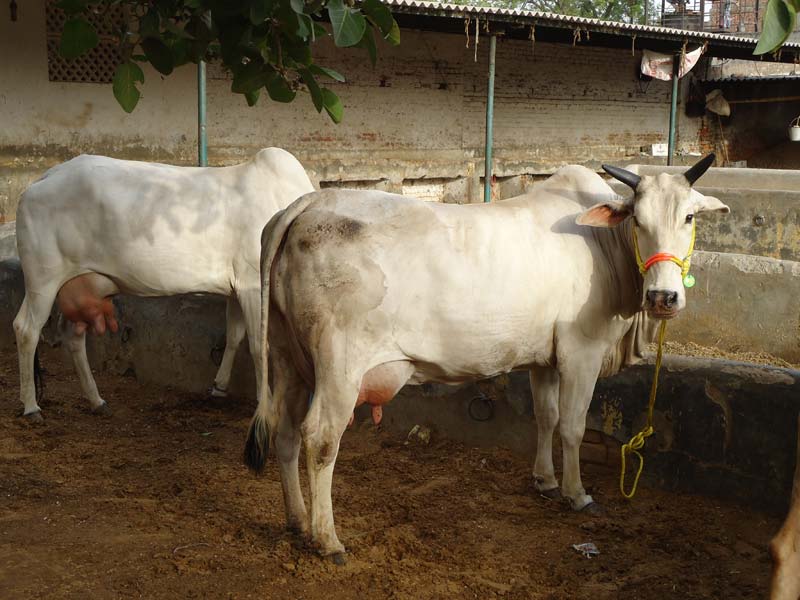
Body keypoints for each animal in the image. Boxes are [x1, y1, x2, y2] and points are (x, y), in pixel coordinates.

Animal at [14, 149, 316, 422]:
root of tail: (45, 177)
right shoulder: (252, 283)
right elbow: (257, 345)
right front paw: (263, 404)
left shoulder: (237, 288)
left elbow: (234, 336)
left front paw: (219, 386)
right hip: (42, 278)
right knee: (26, 329)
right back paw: (31, 407)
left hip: (76, 282)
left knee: (72, 334)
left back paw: (96, 400)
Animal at [242, 152, 724, 560]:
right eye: (638, 220)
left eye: (689, 216)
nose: (664, 297)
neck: (602, 246)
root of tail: (308, 202)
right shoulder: (581, 352)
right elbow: (572, 426)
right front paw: (577, 493)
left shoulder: (544, 359)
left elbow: (546, 417)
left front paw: (545, 481)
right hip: (339, 367)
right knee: (320, 437)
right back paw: (327, 539)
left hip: (288, 357)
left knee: (285, 431)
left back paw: (297, 520)